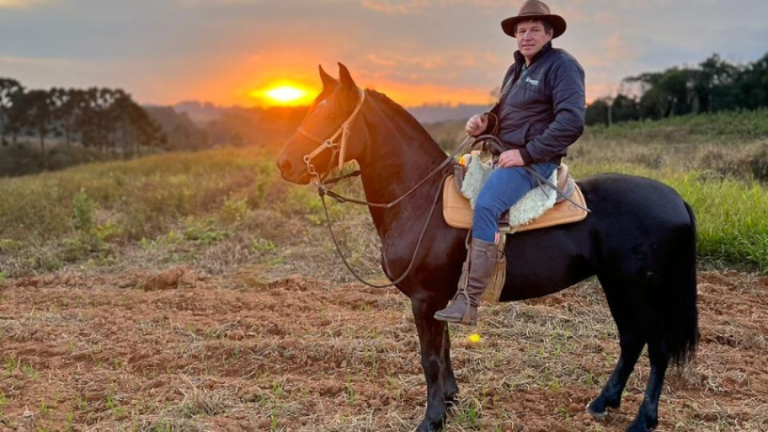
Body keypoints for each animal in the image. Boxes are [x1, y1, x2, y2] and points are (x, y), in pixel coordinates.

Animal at [276, 63, 698, 432]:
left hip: (641, 288)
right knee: (631, 339)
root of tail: (676, 199)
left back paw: (643, 420)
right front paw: (449, 401)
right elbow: (444, 350)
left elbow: (430, 358)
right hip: (616, 284)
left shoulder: (424, 299)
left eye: (332, 113)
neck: (420, 198)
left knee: (657, 348)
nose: (284, 164)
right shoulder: (440, 300)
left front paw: (431, 420)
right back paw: (602, 402)